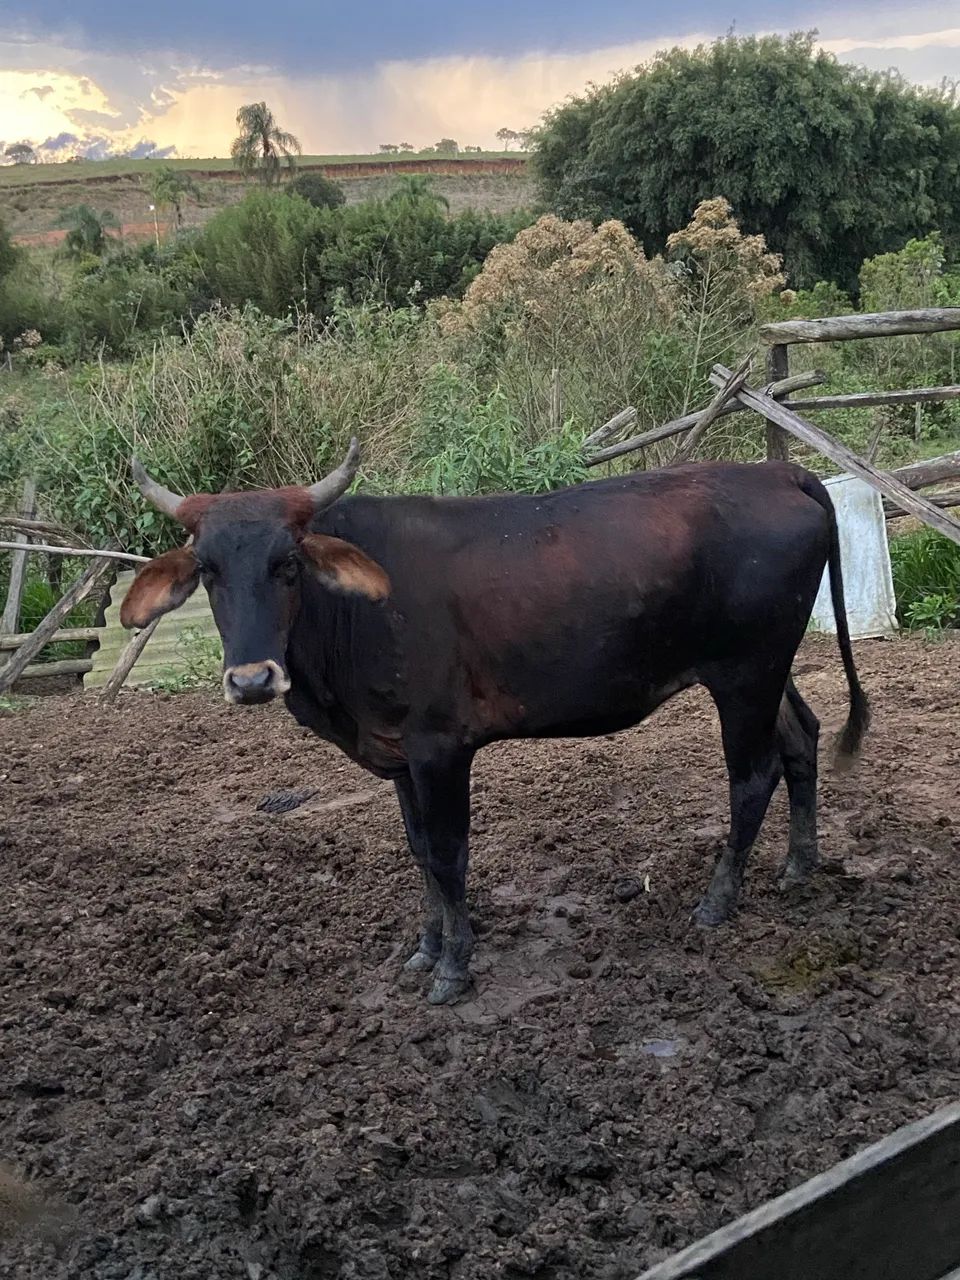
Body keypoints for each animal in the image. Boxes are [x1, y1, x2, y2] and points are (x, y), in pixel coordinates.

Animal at [120, 444, 869, 1004]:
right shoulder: (397, 754)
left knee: (753, 776)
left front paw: (454, 967)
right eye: (208, 570)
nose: (251, 679)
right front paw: (425, 950)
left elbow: (449, 853)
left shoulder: (440, 748)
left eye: (288, 563)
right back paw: (799, 866)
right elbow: (419, 850)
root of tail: (777, 473)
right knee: (801, 739)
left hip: (745, 673)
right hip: (769, 671)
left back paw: (717, 902)